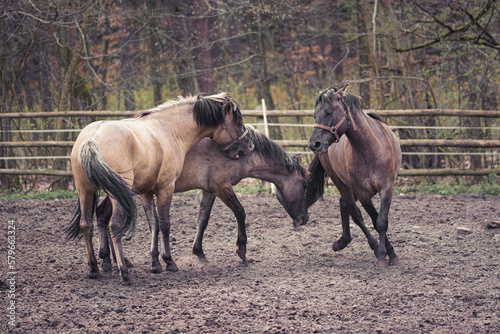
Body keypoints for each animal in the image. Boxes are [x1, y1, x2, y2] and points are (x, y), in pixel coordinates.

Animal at [68, 92, 252, 282]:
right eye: (238, 122)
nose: (248, 144)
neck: (169, 129)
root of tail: (92, 139)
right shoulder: (166, 189)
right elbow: (164, 224)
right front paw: (169, 261)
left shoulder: (146, 193)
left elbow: (153, 225)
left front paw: (155, 263)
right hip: (115, 193)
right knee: (115, 224)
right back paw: (123, 271)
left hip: (87, 190)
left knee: (87, 223)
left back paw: (95, 267)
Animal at [304, 85, 402, 266]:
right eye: (315, 115)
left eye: (328, 112)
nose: (314, 144)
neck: (369, 149)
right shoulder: (362, 192)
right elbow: (372, 220)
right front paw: (382, 254)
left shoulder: (386, 187)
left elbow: (382, 221)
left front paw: (392, 255)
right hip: (343, 184)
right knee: (353, 212)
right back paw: (367, 245)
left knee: (344, 204)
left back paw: (343, 241)